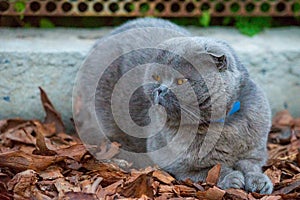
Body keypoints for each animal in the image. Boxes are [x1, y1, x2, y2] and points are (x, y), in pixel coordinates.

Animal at [94, 18, 274, 194]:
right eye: (157, 77)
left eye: (181, 81)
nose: (160, 89)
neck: (224, 128)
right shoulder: (181, 168)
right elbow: (212, 170)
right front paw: (232, 178)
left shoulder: (254, 152)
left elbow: (250, 166)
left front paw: (260, 182)